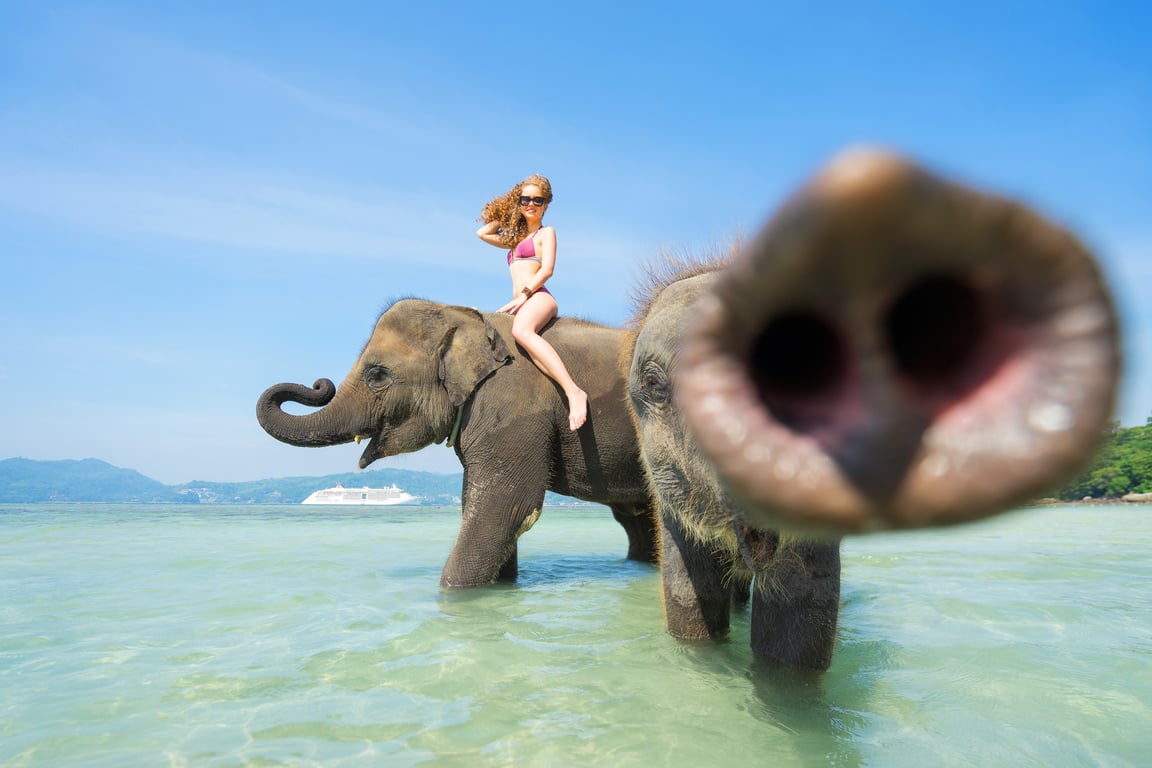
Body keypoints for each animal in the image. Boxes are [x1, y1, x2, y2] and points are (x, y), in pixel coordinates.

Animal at [257, 301, 658, 588]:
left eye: (377, 375)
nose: (320, 384)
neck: (462, 316)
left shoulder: (512, 408)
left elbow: (508, 505)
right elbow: (476, 504)